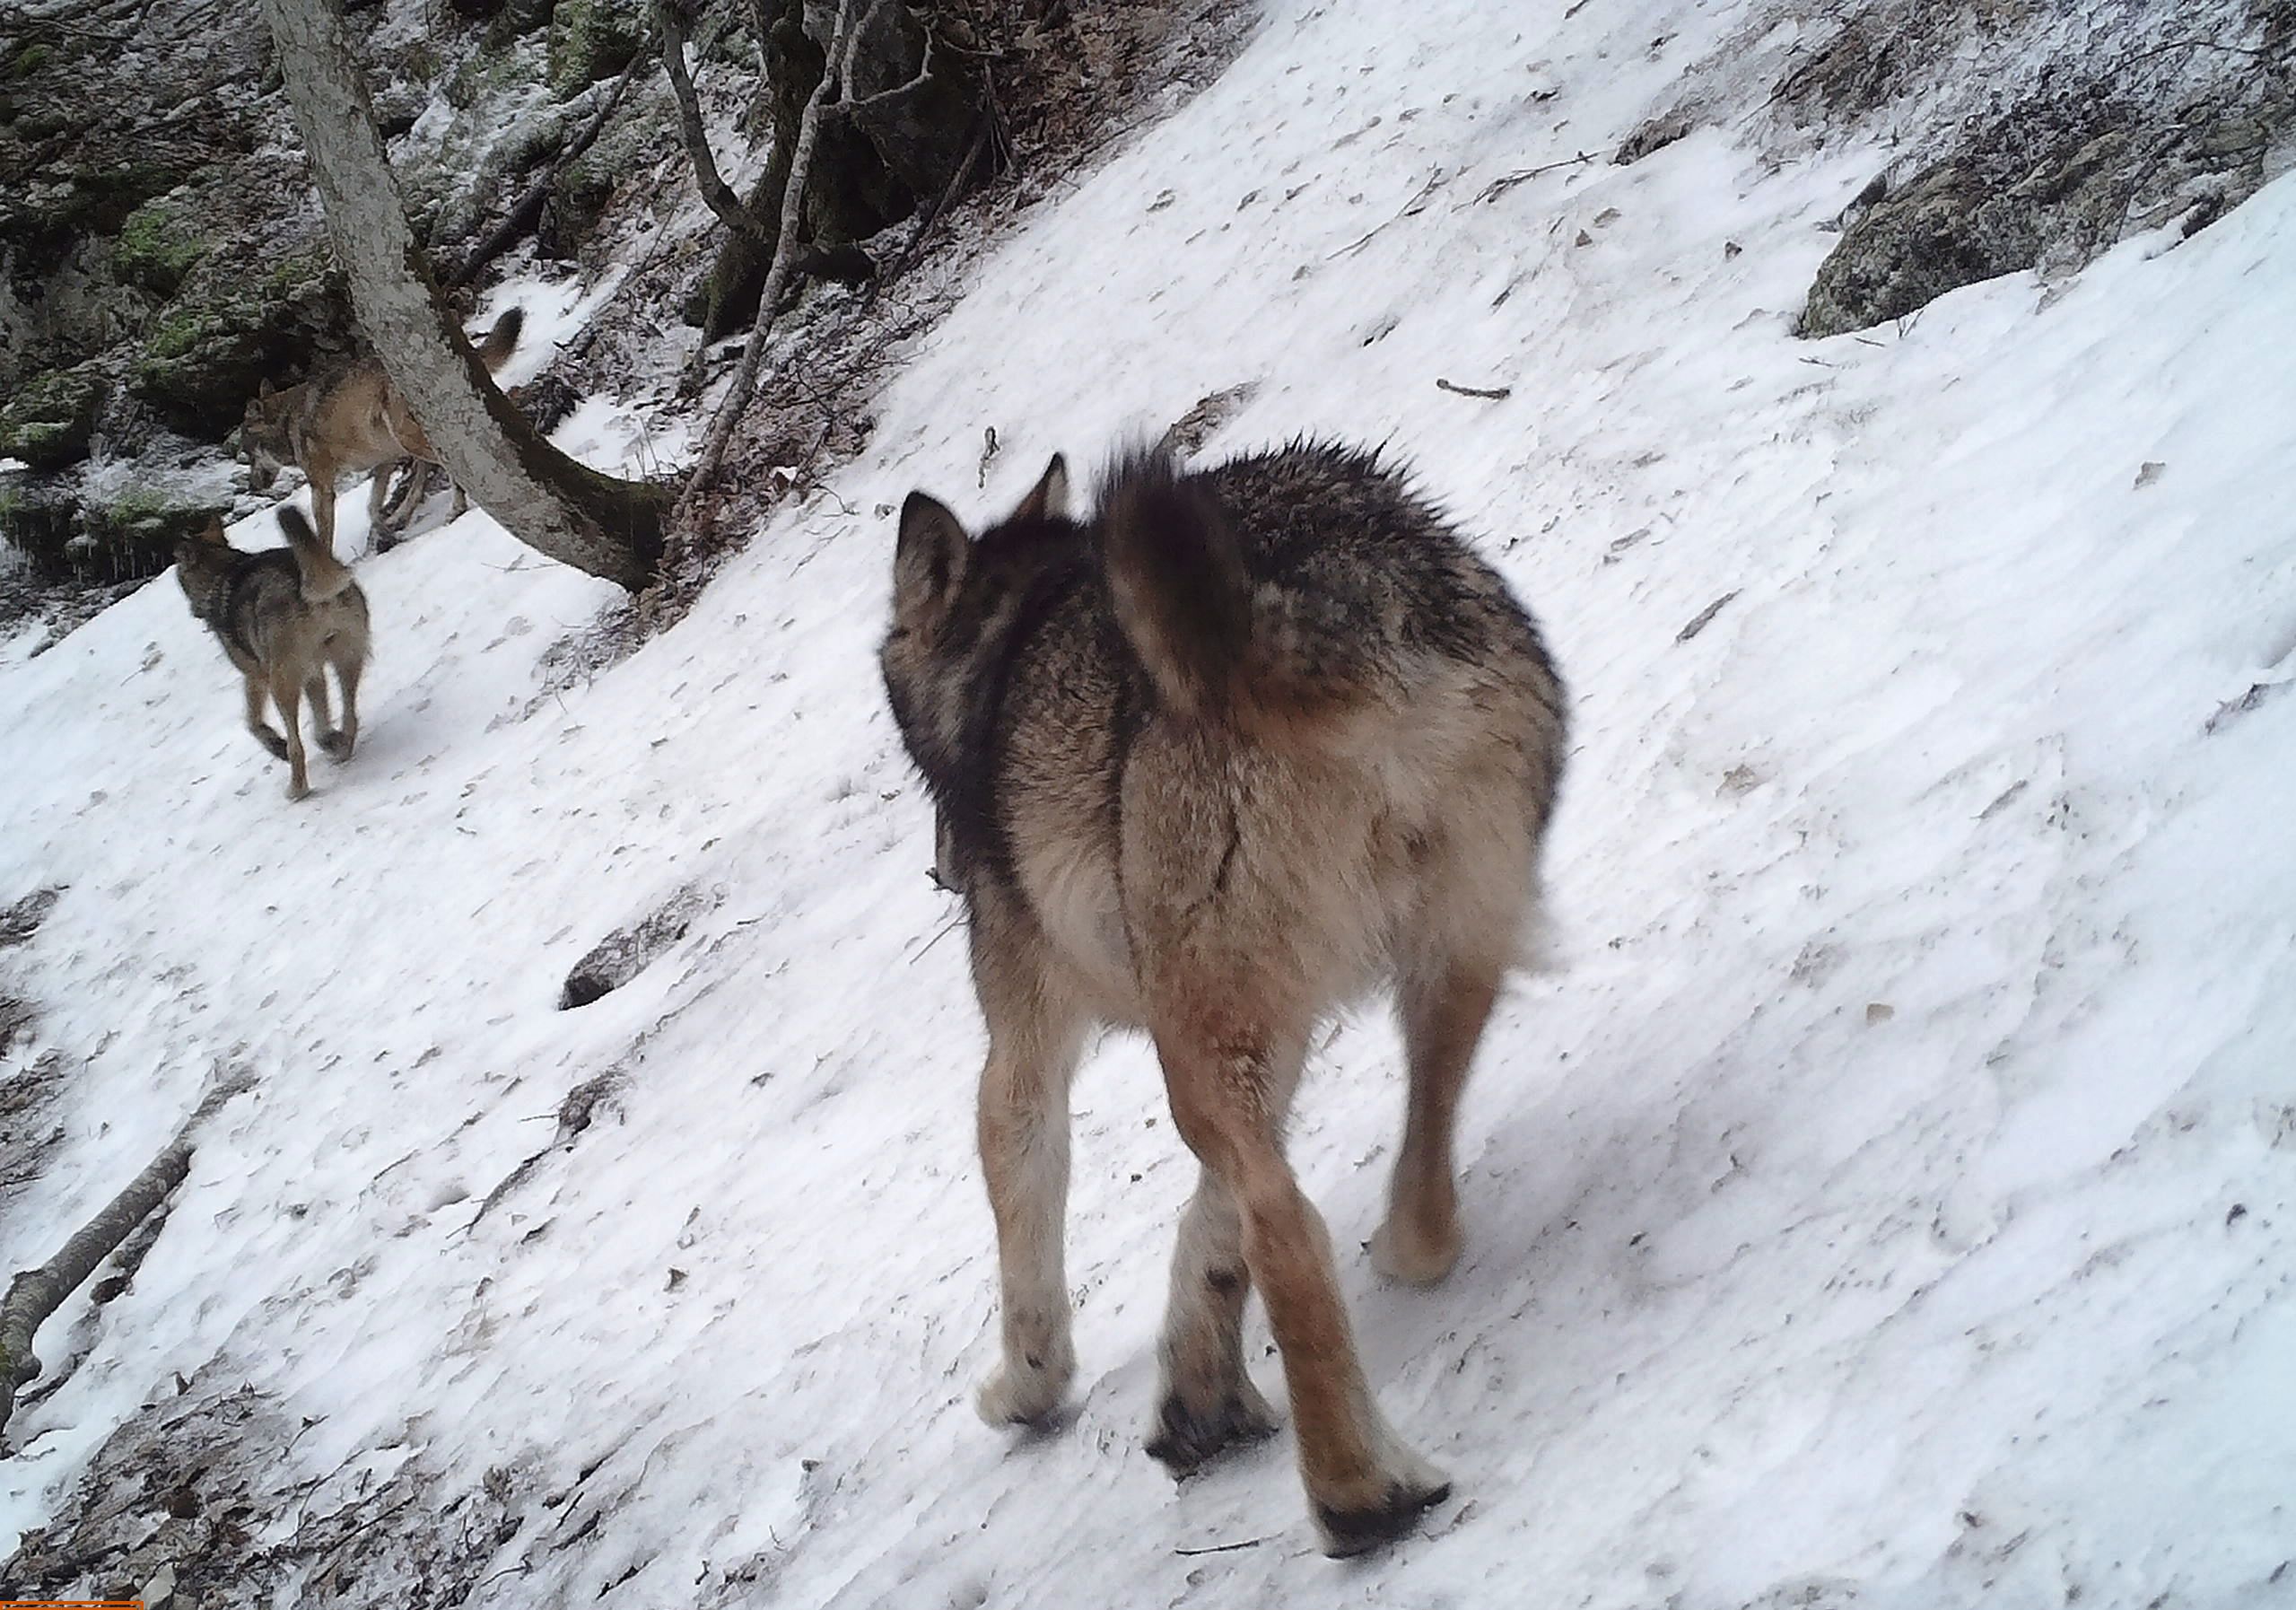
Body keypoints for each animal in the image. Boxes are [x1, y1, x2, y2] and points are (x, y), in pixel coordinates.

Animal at [177, 505, 369, 799]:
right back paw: (342, 749)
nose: (193, 612)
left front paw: (277, 746)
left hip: (282, 685)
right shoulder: (313, 672)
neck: (220, 573)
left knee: (297, 746)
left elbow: (253, 723)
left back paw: (297, 789)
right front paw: (329, 740)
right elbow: (321, 720)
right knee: (351, 716)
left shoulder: (255, 676)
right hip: (347, 659)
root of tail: (298, 576)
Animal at [243, 307, 528, 557]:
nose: (252, 486)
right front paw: (386, 534)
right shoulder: (382, 462)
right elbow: (371, 508)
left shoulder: (321, 489)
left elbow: (325, 536)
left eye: (247, 456)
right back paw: (403, 515)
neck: (287, 422)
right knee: (426, 471)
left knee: (450, 464)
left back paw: (456, 508)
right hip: (408, 440)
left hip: (407, 437)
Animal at [872, 436, 1561, 1543]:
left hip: (1199, 1058)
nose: (942, 868)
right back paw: (1407, 1259)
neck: (1003, 652)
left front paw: (1027, 1390)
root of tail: (1326, 600)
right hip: (1438, 967)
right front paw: (1200, 1398)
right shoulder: (1258, 1039)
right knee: (1414, 1177)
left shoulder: (1020, 1057)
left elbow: (1033, 1238)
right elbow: (1210, 1227)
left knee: (1288, 1227)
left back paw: (1358, 1497)